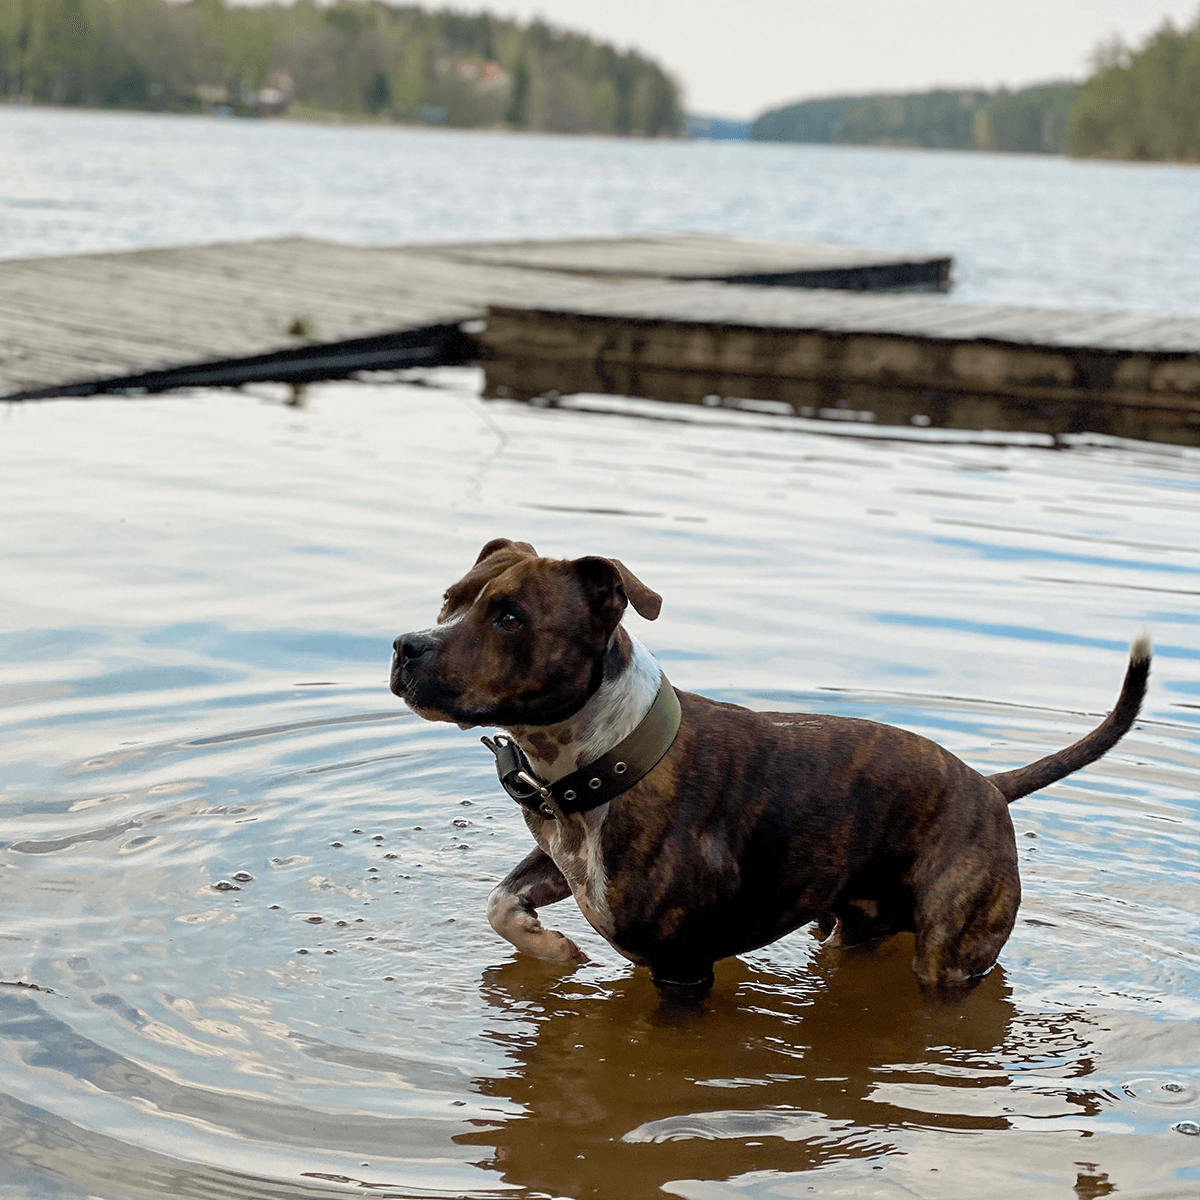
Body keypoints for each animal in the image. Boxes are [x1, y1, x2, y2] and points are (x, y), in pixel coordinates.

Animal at [388, 542, 1147, 993]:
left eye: (510, 617)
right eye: (450, 598)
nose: (405, 646)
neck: (609, 754)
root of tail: (989, 786)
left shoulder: (684, 968)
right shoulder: (564, 858)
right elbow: (499, 900)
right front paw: (549, 949)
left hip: (950, 952)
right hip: (852, 927)